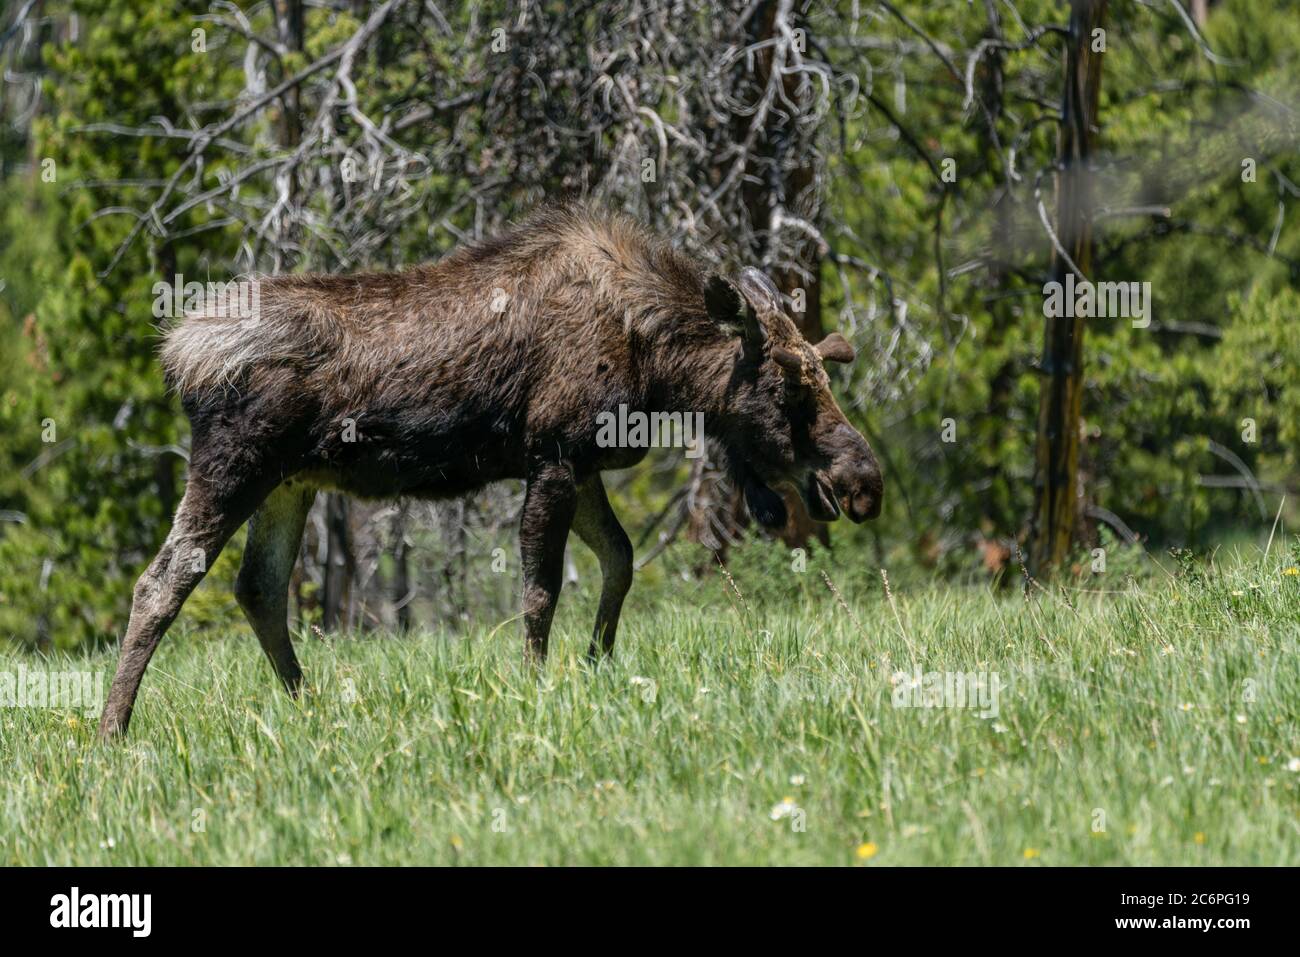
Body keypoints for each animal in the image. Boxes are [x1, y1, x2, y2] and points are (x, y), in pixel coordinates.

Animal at [96, 205, 878, 738]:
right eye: (788, 389)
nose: (863, 482)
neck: (658, 367)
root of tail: (177, 352)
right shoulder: (553, 455)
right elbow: (540, 591)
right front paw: (536, 688)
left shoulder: (583, 463)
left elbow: (619, 559)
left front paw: (598, 664)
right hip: (235, 464)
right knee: (161, 582)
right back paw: (112, 733)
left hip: (289, 483)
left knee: (257, 587)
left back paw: (308, 706)